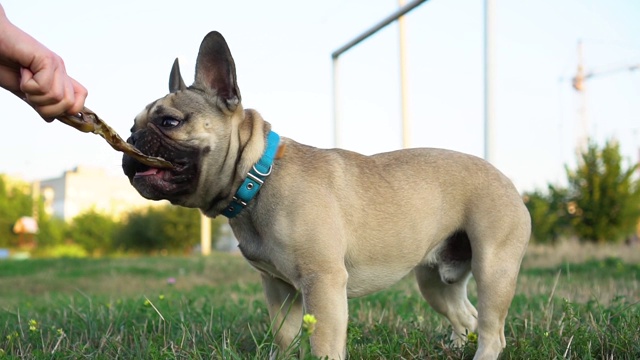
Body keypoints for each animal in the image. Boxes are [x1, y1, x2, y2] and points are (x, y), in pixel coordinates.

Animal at [121, 31, 528, 360]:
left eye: (169, 122)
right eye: (131, 125)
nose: (131, 139)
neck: (259, 177)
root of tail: (506, 179)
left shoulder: (324, 282)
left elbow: (324, 344)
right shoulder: (279, 288)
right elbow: (284, 337)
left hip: (493, 268)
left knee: (492, 330)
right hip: (434, 280)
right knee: (467, 317)